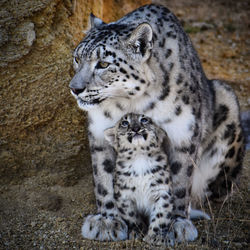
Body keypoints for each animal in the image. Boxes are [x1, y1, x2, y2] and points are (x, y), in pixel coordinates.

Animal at [69, 3, 245, 244]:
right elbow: (104, 177)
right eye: (77, 58)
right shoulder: (99, 132)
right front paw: (107, 221)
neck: (131, 102)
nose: (74, 88)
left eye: (103, 63)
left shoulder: (183, 131)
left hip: (227, 100)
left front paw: (175, 225)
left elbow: (180, 179)